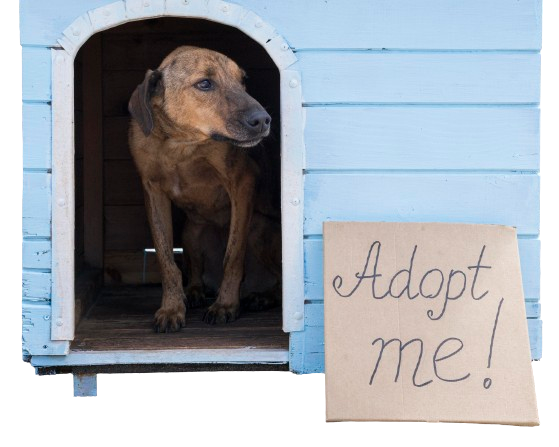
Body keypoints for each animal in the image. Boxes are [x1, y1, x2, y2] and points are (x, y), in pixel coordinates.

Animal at [129, 46, 282, 332]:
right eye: (204, 84)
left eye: (242, 81)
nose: (264, 120)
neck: (181, 144)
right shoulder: (153, 193)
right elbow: (167, 261)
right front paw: (172, 308)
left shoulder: (242, 183)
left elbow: (233, 256)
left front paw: (226, 305)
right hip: (191, 232)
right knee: (195, 272)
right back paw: (195, 292)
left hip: (259, 230)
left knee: (278, 279)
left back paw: (261, 297)